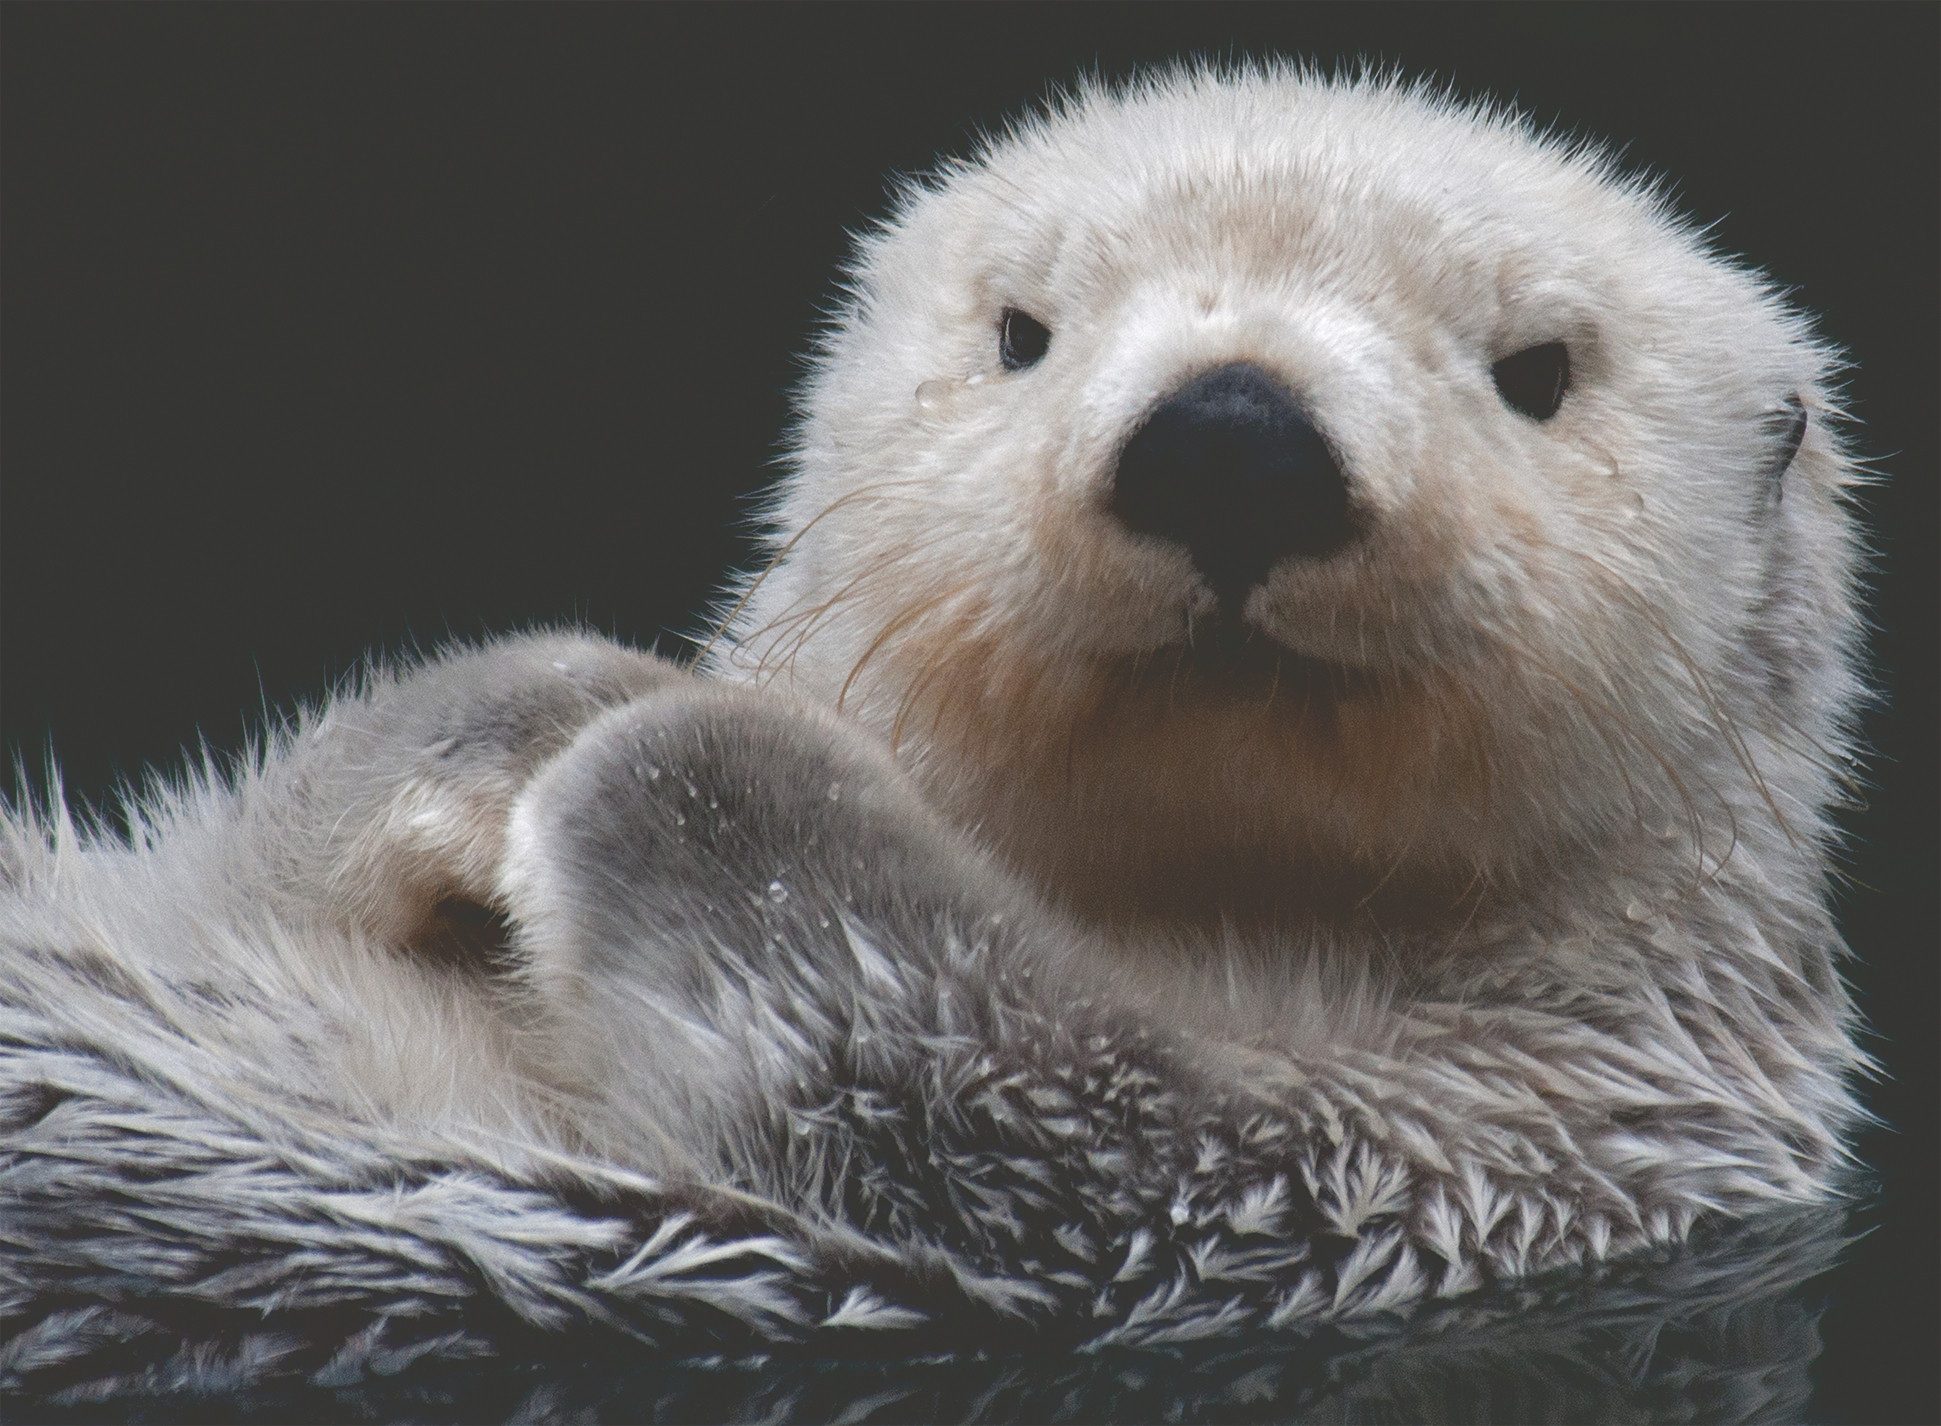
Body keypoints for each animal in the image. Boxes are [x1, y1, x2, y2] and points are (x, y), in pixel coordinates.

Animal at [1, 66, 1865, 1391]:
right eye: (1022, 331)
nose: (1234, 436)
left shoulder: (1464, 1157)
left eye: (1538, 370)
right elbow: (246, 849)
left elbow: (998, 1080)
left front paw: (666, 751)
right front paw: (535, 710)